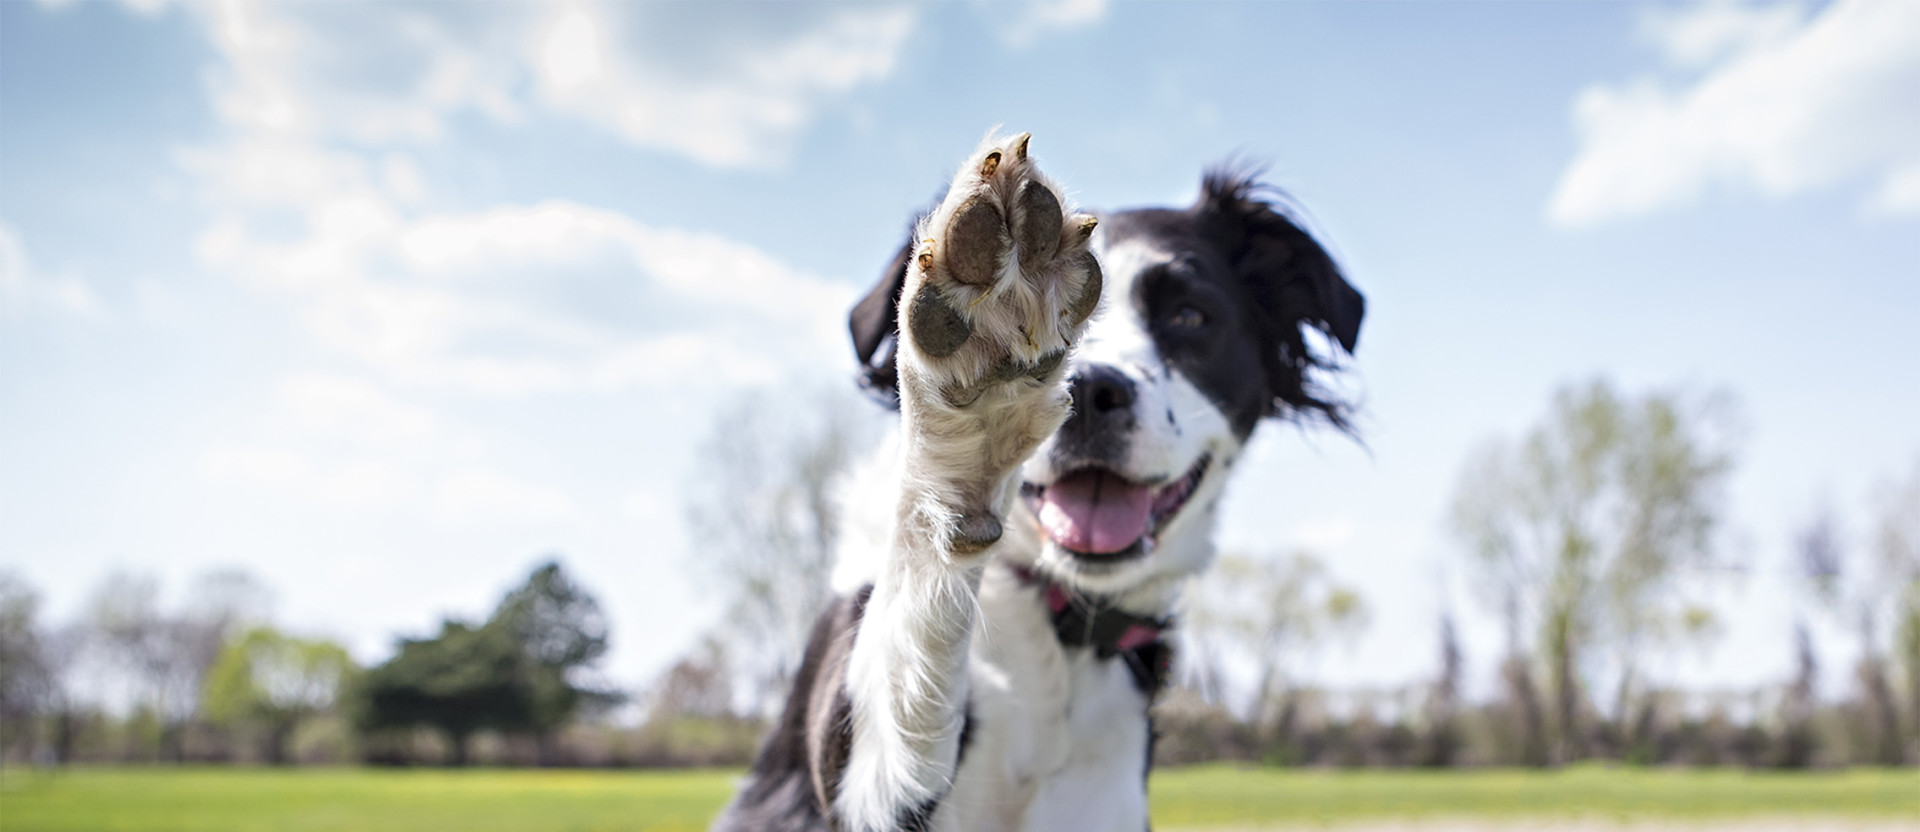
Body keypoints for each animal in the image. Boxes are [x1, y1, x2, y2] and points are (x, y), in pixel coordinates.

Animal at [714, 132, 1359, 826]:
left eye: (1190, 316)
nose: (1095, 392)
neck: (1060, 633)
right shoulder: (856, 788)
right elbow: (906, 661)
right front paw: (980, 389)